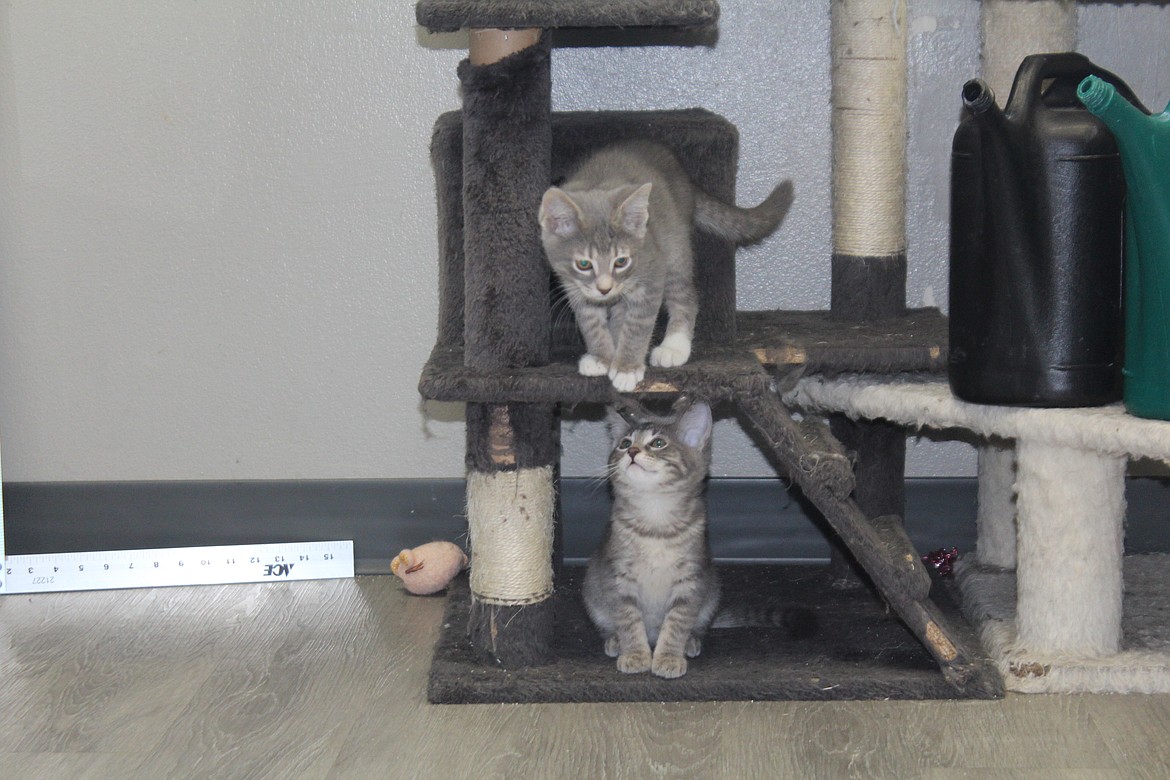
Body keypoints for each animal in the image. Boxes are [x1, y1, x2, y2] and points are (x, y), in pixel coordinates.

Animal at [538, 140, 795, 390]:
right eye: (584, 264)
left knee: (685, 296)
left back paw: (674, 346)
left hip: (675, 248)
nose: (605, 288)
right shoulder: (573, 286)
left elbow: (637, 324)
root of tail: (684, 176)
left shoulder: (651, 272)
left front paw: (626, 367)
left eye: (621, 261)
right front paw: (602, 356)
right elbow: (590, 321)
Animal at [580, 399, 716, 678]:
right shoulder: (618, 577)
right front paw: (635, 655)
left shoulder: (691, 580)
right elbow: (628, 619)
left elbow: (677, 623)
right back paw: (614, 641)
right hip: (593, 595)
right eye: (623, 443)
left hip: (710, 597)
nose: (631, 451)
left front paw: (668, 657)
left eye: (658, 443)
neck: (656, 523)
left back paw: (691, 641)